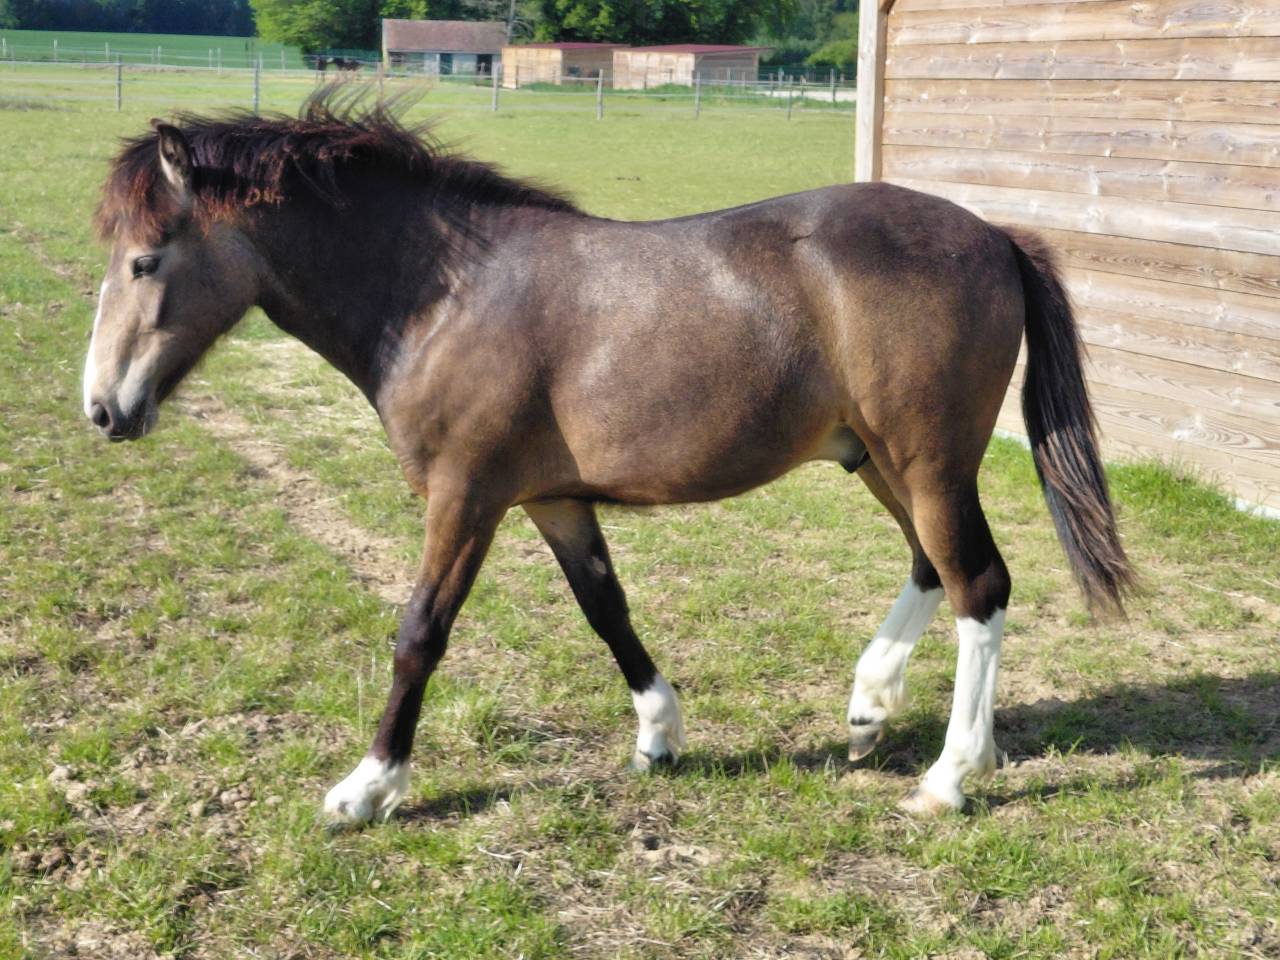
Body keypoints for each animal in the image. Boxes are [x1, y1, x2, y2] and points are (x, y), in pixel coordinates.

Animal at [83, 97, 1133, 824]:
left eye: (145, 261)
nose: (101, 409)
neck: (444, 296)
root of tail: (994, 235)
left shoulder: (465, 496)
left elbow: (420, 631)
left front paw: (368, 788)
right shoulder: (552, 500)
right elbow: (605, 609)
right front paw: (659, 733)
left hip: (925, 459)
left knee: (979, 586)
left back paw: (950, 776)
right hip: (878, 458)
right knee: (932, 567)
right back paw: (871, 705)